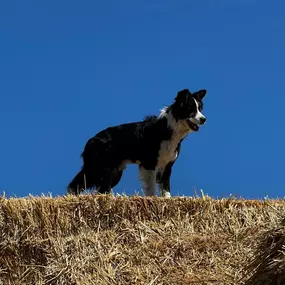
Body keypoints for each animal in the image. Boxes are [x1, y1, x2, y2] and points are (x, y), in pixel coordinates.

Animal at [67, 87, 205, 196]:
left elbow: (166, 189)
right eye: (190, 108)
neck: (170, 129)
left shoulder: (167, 166)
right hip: (103, 168)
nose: (204, 119)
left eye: (200, 108)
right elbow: (151, 188)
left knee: (98, 189)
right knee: (82, 185)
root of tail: (91, 139)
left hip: (114, 172)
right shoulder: (149, 164)